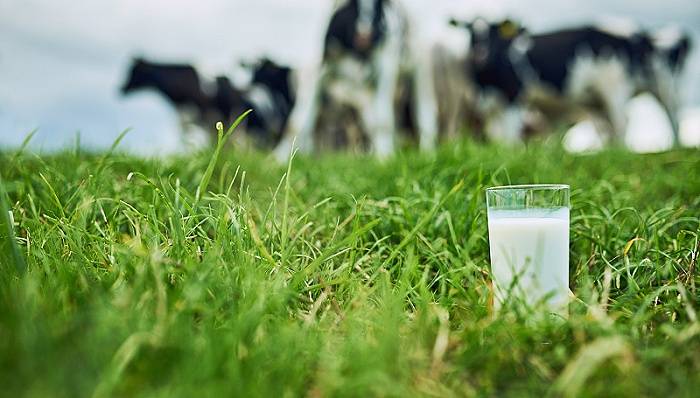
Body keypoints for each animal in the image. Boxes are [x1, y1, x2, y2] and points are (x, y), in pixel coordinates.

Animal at [274, 0, 438, 159]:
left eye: (378, 6)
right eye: (352, 6)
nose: (364, 37)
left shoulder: (386, 67)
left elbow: (383, 120)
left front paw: (385, 158)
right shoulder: (316, 71)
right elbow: (296, 123)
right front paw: (278, 158)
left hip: (421, 68)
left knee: (425, 111)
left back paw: (427, 153)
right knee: (371, 122)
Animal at [452, 18, 692, 145]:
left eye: (494, 32)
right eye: (470, 33)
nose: (480, 54)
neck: (485, 81)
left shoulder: (514, 98)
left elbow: (509, 137)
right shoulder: (490, 107)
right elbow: (497, 136)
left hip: (632, 87)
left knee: (650, 119)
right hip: (596, 100)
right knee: (609, 127)